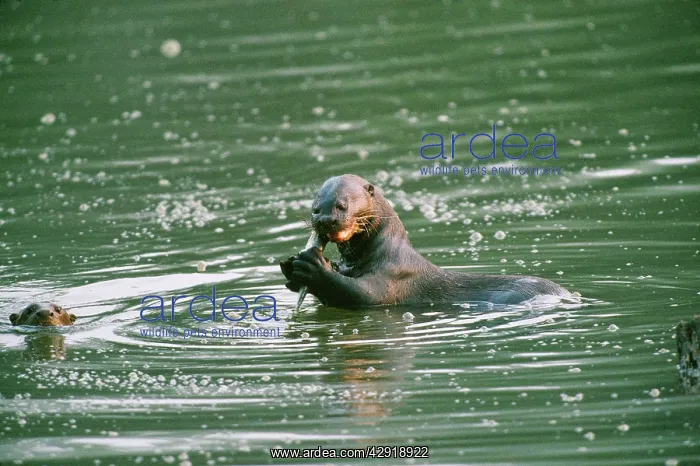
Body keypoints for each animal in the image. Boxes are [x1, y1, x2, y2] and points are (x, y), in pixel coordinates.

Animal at [280, 174, 572, 308]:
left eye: (342, 205)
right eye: (315, 208)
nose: (325, 220)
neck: (382, 252)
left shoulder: (393, 276)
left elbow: (364, 295)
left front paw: (313, 267)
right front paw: (289, 266)